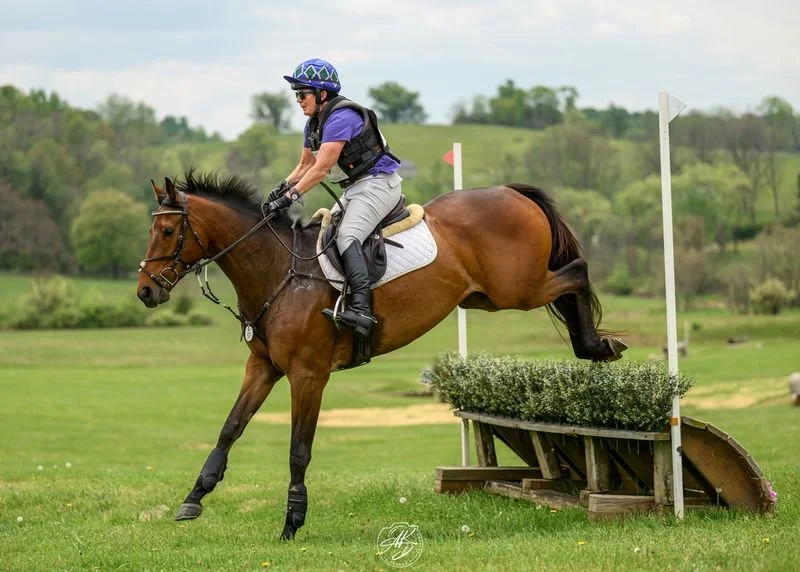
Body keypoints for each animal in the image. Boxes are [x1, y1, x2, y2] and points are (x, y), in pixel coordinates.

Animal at [136, 170, 626, 540]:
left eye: (167, 231)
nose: (144, 292)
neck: (278, 272)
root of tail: (510, 192)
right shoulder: (263, 367)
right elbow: (230, 428)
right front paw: (193, 498)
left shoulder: (308, 375)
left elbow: (298, 449)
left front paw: (293, 521)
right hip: (486, 297)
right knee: (567, 281)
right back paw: (597, 347)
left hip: (517, 289)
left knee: (576, 272)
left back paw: (597, 346)